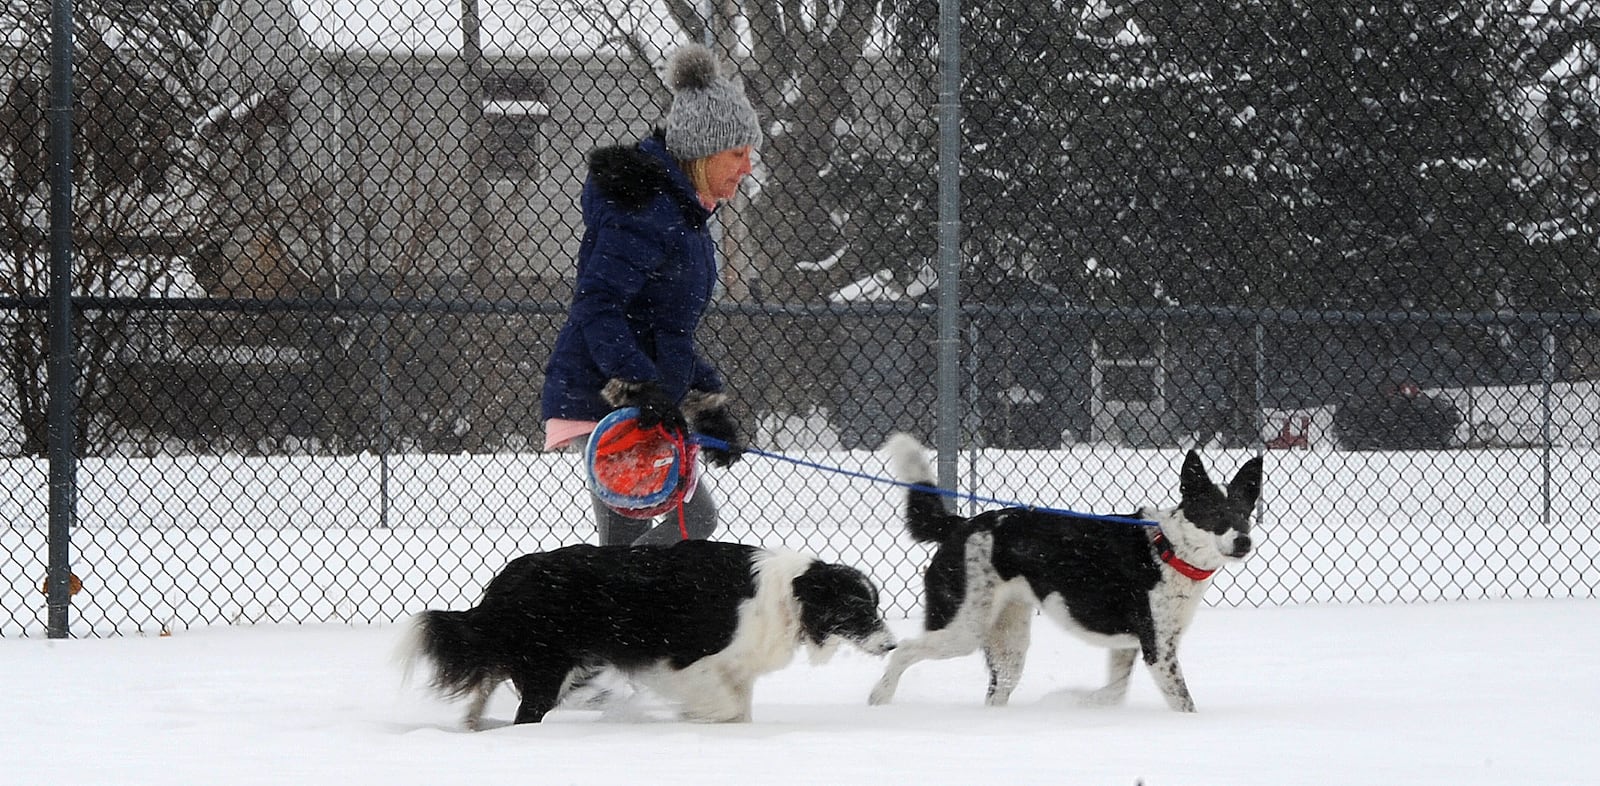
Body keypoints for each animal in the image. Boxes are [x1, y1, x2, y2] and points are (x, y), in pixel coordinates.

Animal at [396, 541, 902, 726]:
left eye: (875, 605)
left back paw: (473, 726)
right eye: (860, 608)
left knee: (486, 683)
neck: (789, 593)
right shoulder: (686, 662)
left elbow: (740, 710)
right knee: (527, 712)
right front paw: (691, 717)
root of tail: (506, 580)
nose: (892, 645)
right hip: (547, 666)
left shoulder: (736, 668)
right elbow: (722, 704)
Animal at [870, 432, 1254, 717]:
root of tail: (960, 524)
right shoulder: (1158, 648)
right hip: (963, 627)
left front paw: (1077, 701)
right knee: (903, 650)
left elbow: (1115, 691)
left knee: (997, 688)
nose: (1244, 541)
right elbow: (1183, 703)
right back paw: (878, 700)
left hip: (1008, 639)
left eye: (1245, 513)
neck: (1169, 549)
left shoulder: (1128, 646)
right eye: (1215, 513)